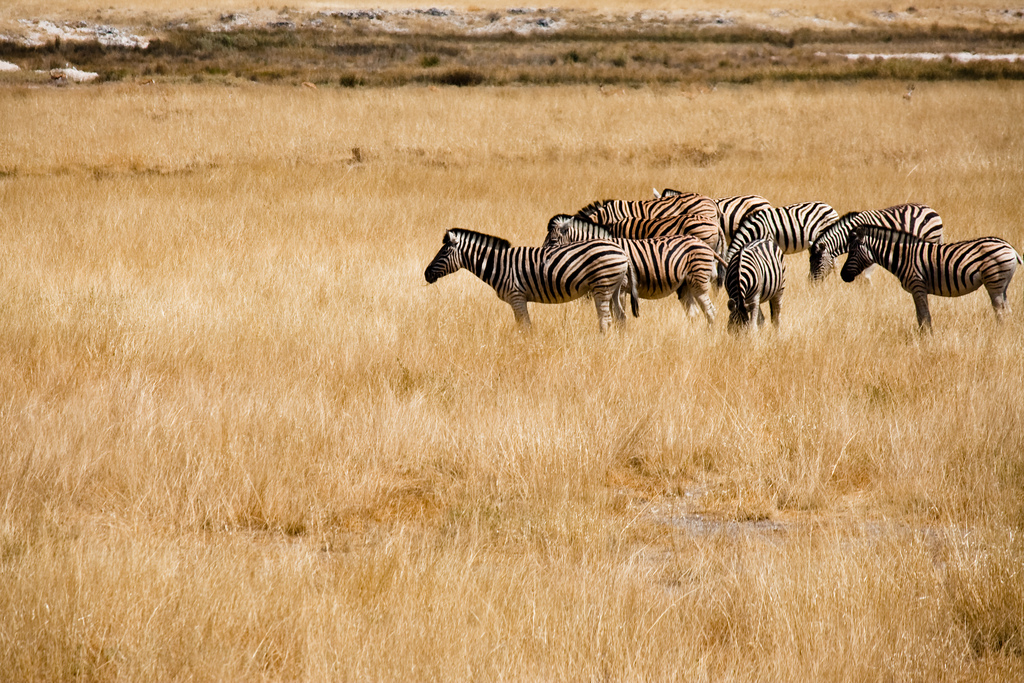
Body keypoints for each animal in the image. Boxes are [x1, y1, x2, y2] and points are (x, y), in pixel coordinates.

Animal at [425, 228, 638, 335]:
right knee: (621, 317)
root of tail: (622, 251)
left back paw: (601, 342)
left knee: (606, 319)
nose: (426, 274)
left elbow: (525, 326)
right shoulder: (518, 299)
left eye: (444, 252)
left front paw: (525, 346)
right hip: (614, 288)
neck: (498, 264)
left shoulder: (516, 297)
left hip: (602, 286)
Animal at [544, 216, 729, 327]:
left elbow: (618, 315)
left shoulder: (620, 288)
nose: (544, 261)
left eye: (552, 241)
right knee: (696, 313)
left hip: (698, 279)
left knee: (710, 311)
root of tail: (702, 243)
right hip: (686, 284)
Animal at [839, 225, 1024, 329]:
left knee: (999, 311)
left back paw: (998, 333)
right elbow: (920, 316)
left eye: (852, 251)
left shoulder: (917, 286)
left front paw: (926, 340)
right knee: (1007, 310)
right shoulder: (917, 290)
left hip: (994, 281)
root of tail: (1009, 247)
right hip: (1002, 284)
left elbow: (924, 317)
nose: (842, 276)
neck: (903, 256)